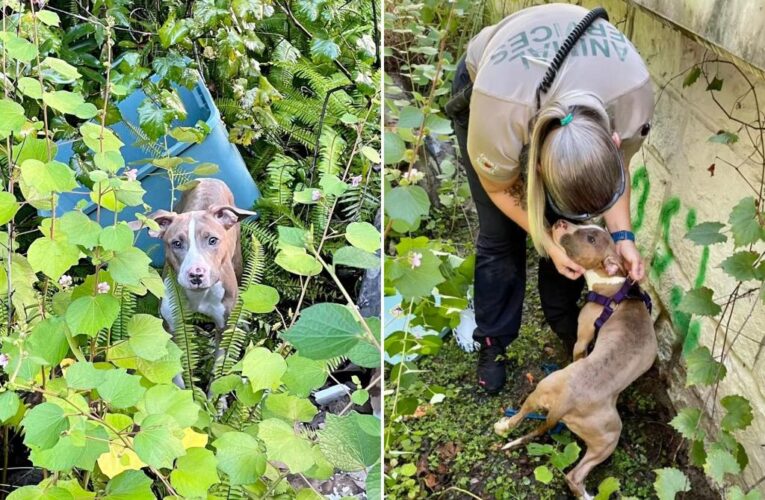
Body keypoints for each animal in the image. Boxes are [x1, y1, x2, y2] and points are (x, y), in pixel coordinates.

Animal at [496, 221, 656, 498]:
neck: (613, 284)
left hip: (547, 394)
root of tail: (565, 403)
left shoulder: (582, 338)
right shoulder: (583, 339)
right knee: (572, 473)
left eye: (591, 237)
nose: (560, 222)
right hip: (603, 433)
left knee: (523, 417)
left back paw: (505, 426)